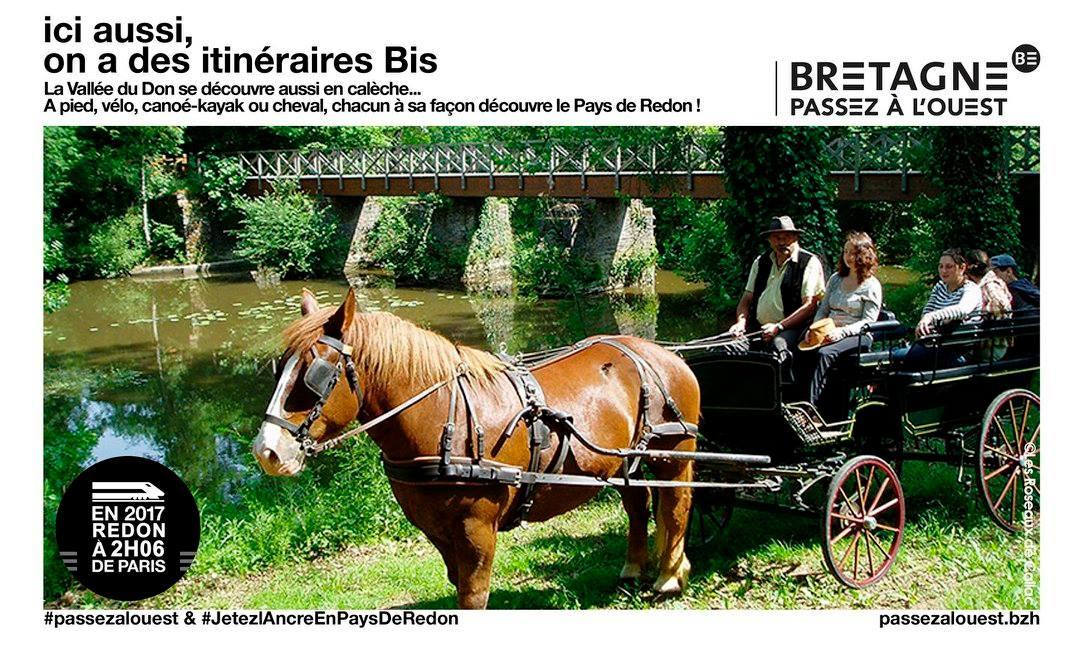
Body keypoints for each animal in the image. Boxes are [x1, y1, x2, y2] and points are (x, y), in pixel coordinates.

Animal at [257, 289, 704, 609]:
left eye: (314, 375)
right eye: (281, 368)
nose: (267, 451)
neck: (442, 415)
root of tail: (664, 353)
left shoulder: (477, 528)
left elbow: (474, 595)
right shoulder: (437, 530)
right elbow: (457, 586)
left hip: (672, 451)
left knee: (676, 505)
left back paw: (669, 576)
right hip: (625, 461)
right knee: (638, 503)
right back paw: (633, 568)